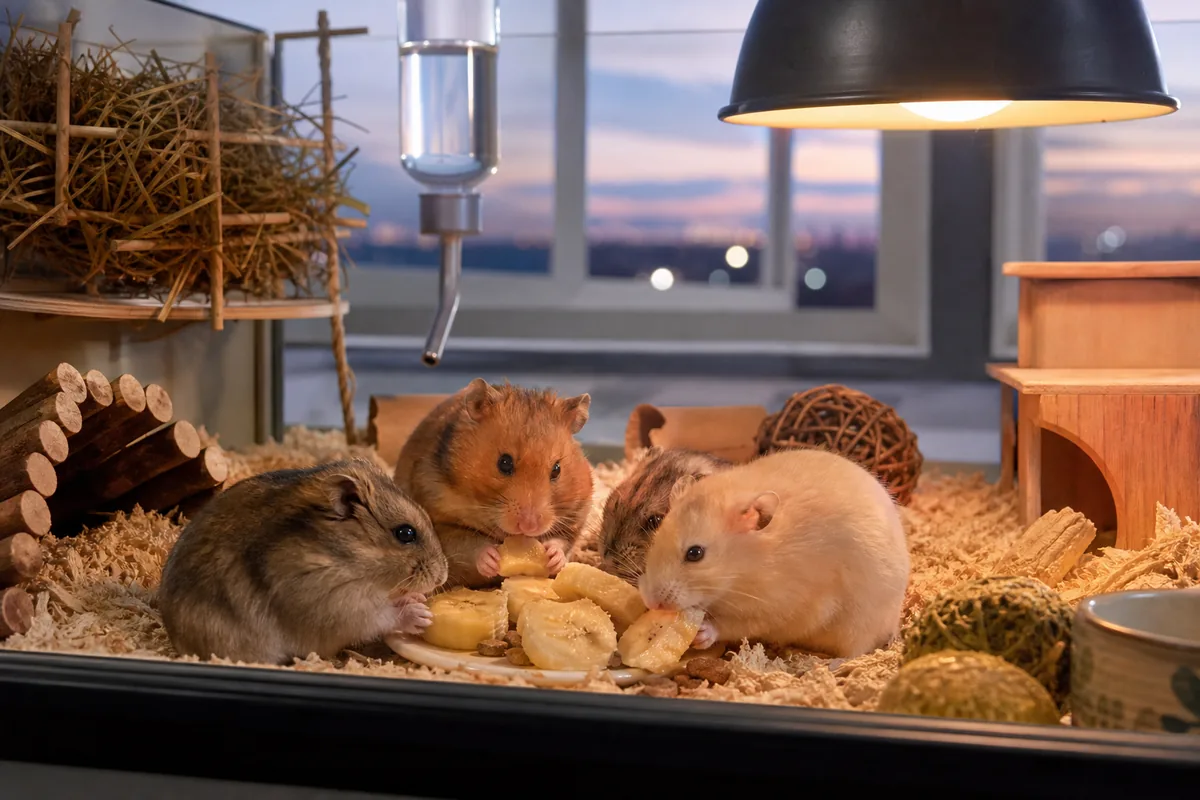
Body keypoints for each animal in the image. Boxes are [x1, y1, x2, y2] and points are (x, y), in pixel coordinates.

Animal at [158, 458, 448, 665]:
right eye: (405, 533)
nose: (442, 576)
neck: (347, 555)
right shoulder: (331, 601)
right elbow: (378, 616)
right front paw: (419, 613)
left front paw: (415, 598)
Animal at [394, 378, 595, 589]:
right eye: (504, 463)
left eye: (557, 469)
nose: (529, 526)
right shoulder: (439, 521)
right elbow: (466, 544)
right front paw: (491, 558)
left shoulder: (577, 516)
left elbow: (562, 540)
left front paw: (552, 556)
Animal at [638, 448, 911, 659]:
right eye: (656, 537)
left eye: (695, 553)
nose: (650, 603)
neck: (744, 572)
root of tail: (895, 622)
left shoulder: (784, 608)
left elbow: (741, 625)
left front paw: (703, 633)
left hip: (861, 623)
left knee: (856, 652)